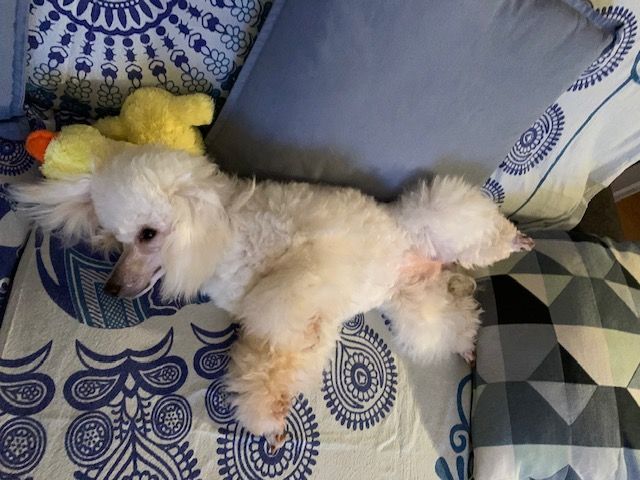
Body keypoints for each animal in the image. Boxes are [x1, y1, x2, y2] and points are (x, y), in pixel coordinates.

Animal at [12, 145, 532, 448]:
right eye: (117, 239)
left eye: (148, 234)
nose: (112, 287)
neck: (226, 231)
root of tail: (426, 258)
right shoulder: (285, 322)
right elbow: (271, 364)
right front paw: (272, 418)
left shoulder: (290, 296)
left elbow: (277, 353)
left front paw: (270, 416)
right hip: (411, 304)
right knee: (450, 318)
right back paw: (468, 342)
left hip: (437, 217)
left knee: (480, 232)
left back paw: (516, 241)